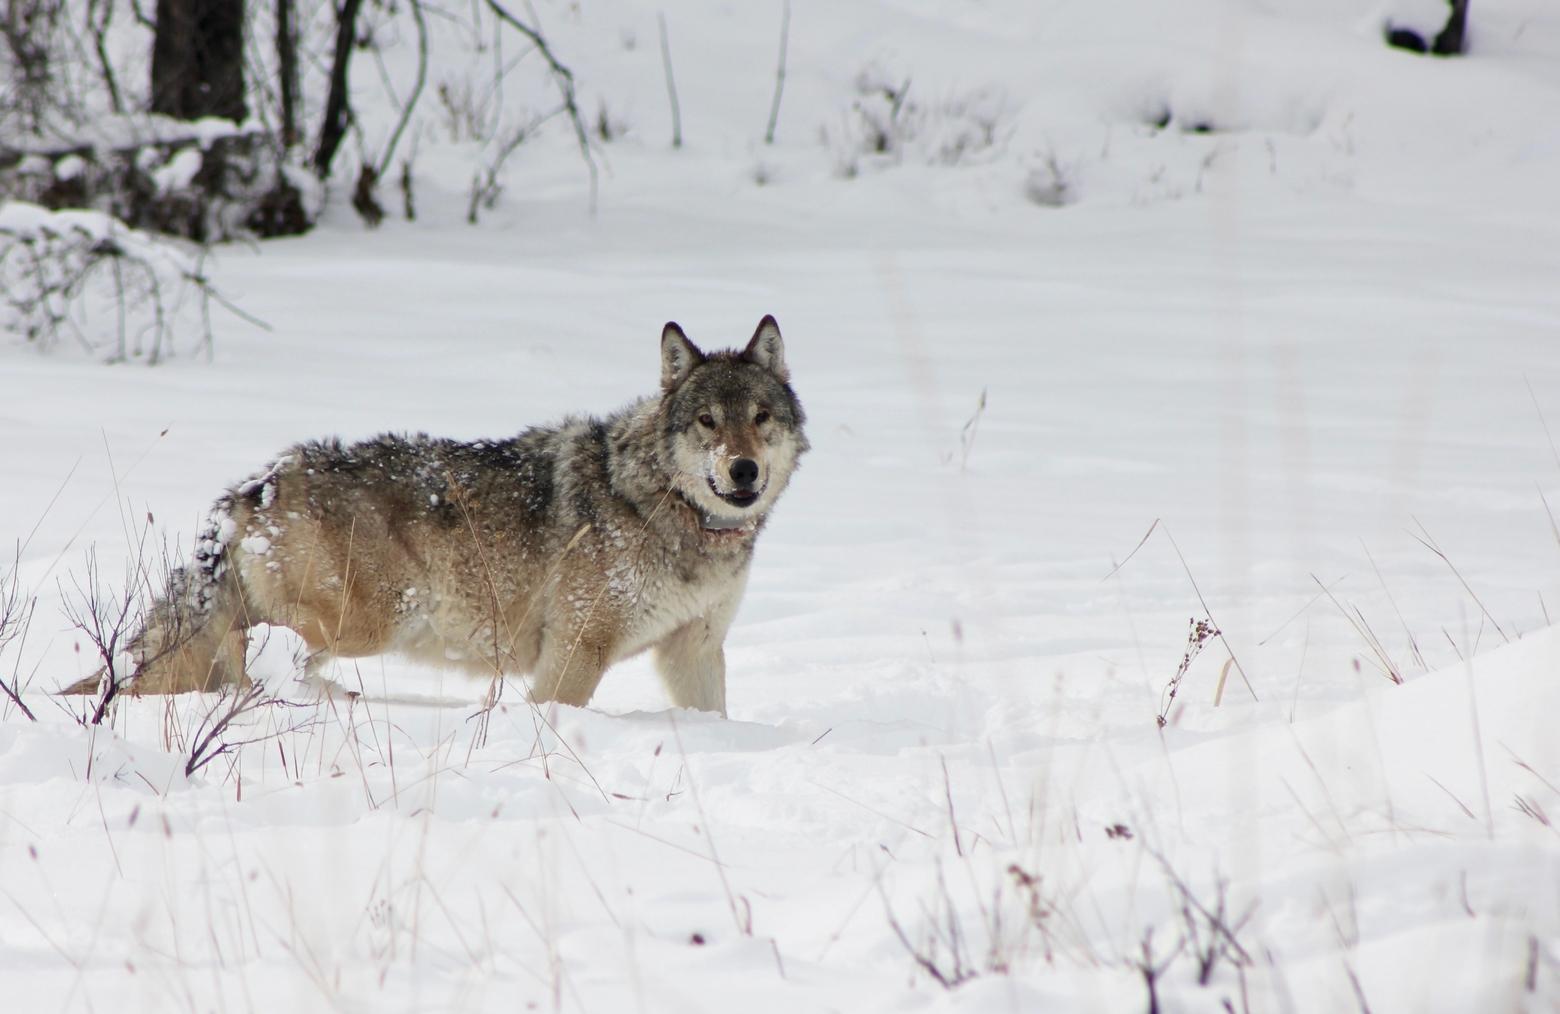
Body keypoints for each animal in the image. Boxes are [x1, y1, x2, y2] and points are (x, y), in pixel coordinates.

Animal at [60, 315, 804, 711]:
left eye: (760, 418)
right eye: (707, 422)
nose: (743, 471)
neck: (667, 507)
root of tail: (260, 482)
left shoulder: (695, 650)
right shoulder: (575, 651)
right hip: (371, 620)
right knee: (267, 661)